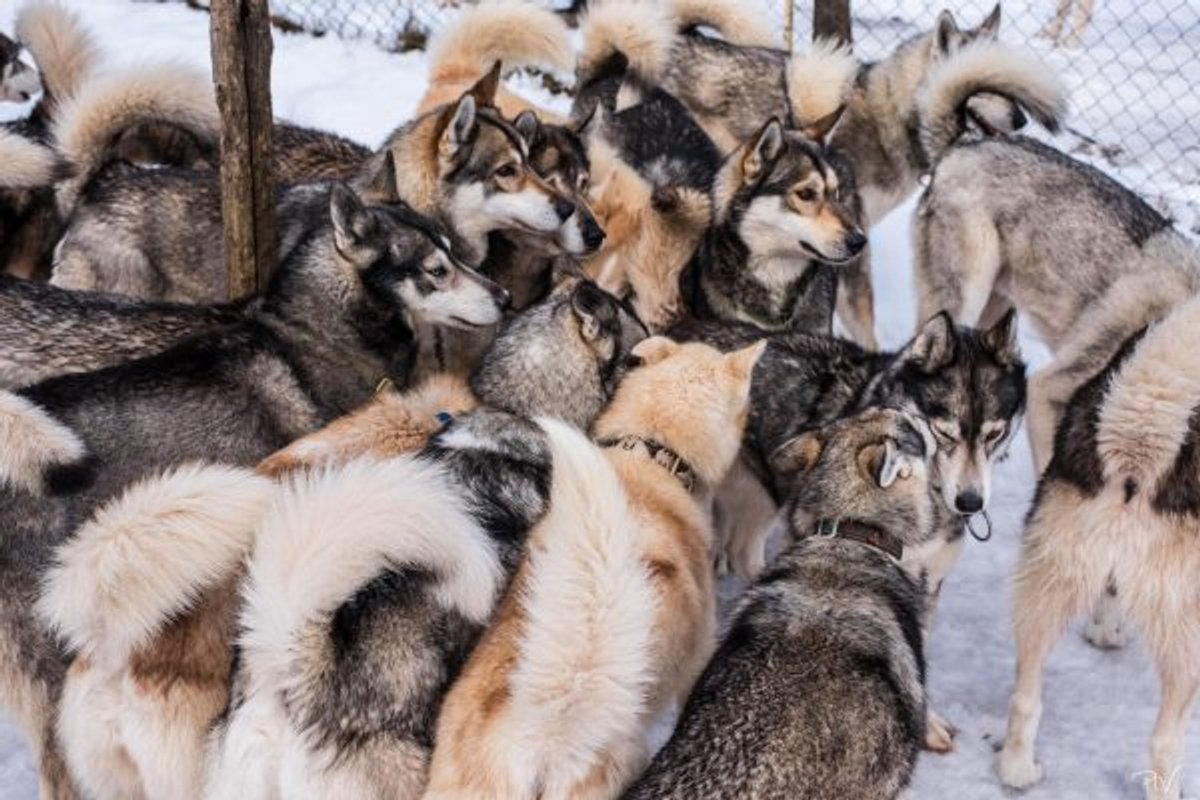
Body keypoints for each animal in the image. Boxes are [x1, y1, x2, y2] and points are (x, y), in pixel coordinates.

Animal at [993, 293, 1200, 800]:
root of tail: (1138, 441)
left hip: (1046, 583)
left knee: (1025, 697)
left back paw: (1017, 770)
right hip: (1187, 639)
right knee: (1163, 742)